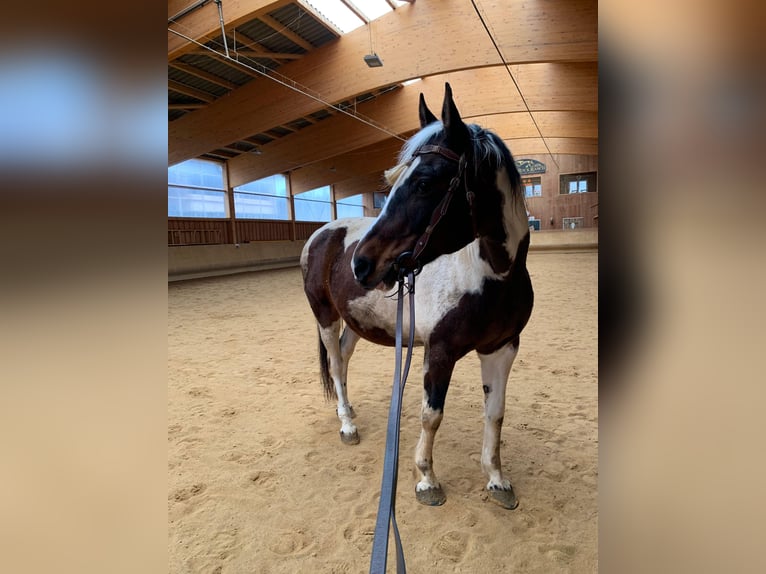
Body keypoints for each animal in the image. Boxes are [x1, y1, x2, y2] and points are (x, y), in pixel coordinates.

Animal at [300, 83, 536, 510]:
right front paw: (426, 479)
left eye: (424, 182)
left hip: (355, 322)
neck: (490, 276)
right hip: (325, 314)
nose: (362, 263)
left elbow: (495, 414)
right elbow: (431, 415)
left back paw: (350, 410)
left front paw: (496, 480)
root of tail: (323, 233)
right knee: (337, 367)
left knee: (343, 356)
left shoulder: (503, 348)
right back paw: (347, 423)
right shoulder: (439, 351)